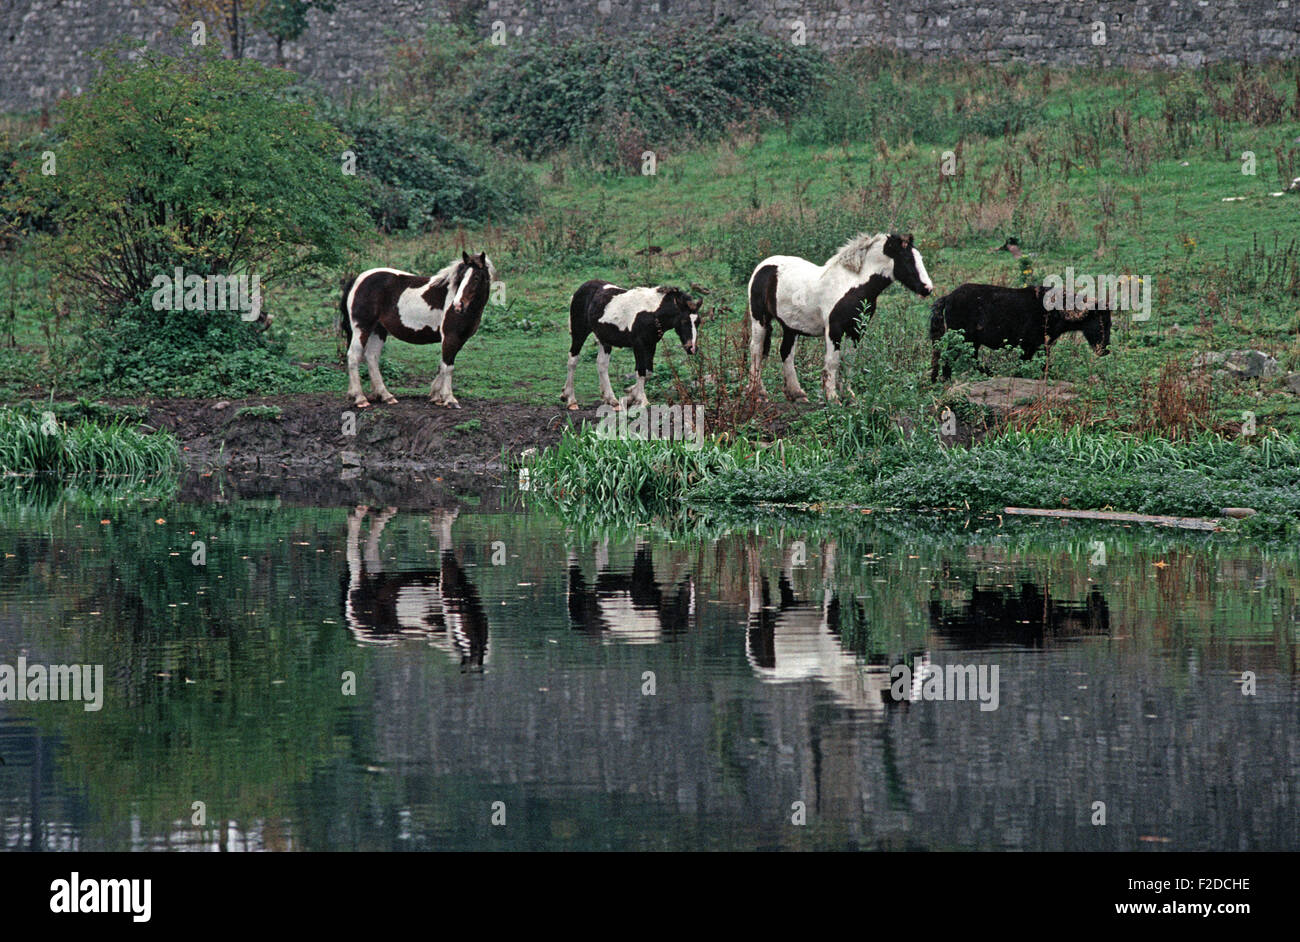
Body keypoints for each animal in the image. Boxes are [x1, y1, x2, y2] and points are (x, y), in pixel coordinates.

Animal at [338, 252, 493, 410]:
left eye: (476, 277)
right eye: (460, 278)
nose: (458, 305)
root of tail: (357, 279)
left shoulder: (460, 339)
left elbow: (442, 365)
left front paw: (436, 396)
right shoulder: (451, 337)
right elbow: (448, 367)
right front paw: (449, 399)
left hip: (378, 330)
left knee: (372, 357)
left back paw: (385, 396)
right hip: (361, 328)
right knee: (354, 356)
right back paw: (360, 398)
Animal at [559, 280, 702, 410]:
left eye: (698, 322)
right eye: (684, 321)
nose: (692, 348)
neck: (652, 312)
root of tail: (581, 288)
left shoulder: (651, 344)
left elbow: (648, 372)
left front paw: (630, 396)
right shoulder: (638, 344)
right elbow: (641, 371)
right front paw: (642, 400)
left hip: (604, 340)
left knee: (601, 365)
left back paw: (611, 400)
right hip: (579, 333)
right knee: (572, 360)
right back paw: (570, 399)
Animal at [754, 233, 935, 402]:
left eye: (920, 258)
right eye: (907, 259)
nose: (927, 288)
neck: (852, 286)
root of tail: (764, 265)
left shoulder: (857, 330)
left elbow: (848, 361)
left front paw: (849, 396)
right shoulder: (834, 330)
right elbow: (832, 362)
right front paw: (832, 398)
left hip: (790, 327)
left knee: (786, 352)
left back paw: (797, 394)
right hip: (760, 320)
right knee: (756, 351)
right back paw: (758, 393)